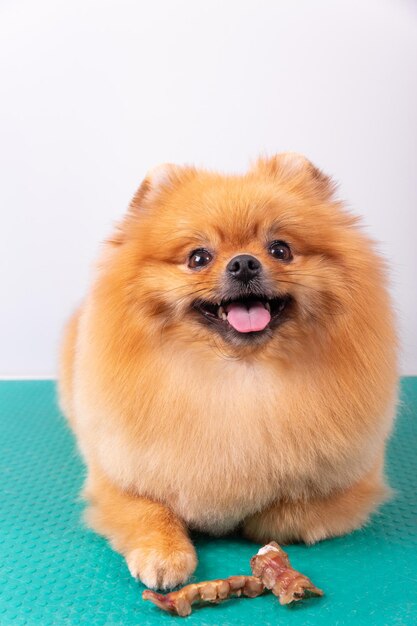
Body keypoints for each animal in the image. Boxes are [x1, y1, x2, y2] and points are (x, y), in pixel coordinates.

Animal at [58, 154, 396, 588]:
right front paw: (162, 552)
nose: (244, 263)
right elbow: (147, 509)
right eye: (198, 257)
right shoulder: (115, 478)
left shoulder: (355, 482)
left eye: (280, 249)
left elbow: (286, 511)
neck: (238, 377)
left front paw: (256, 520)